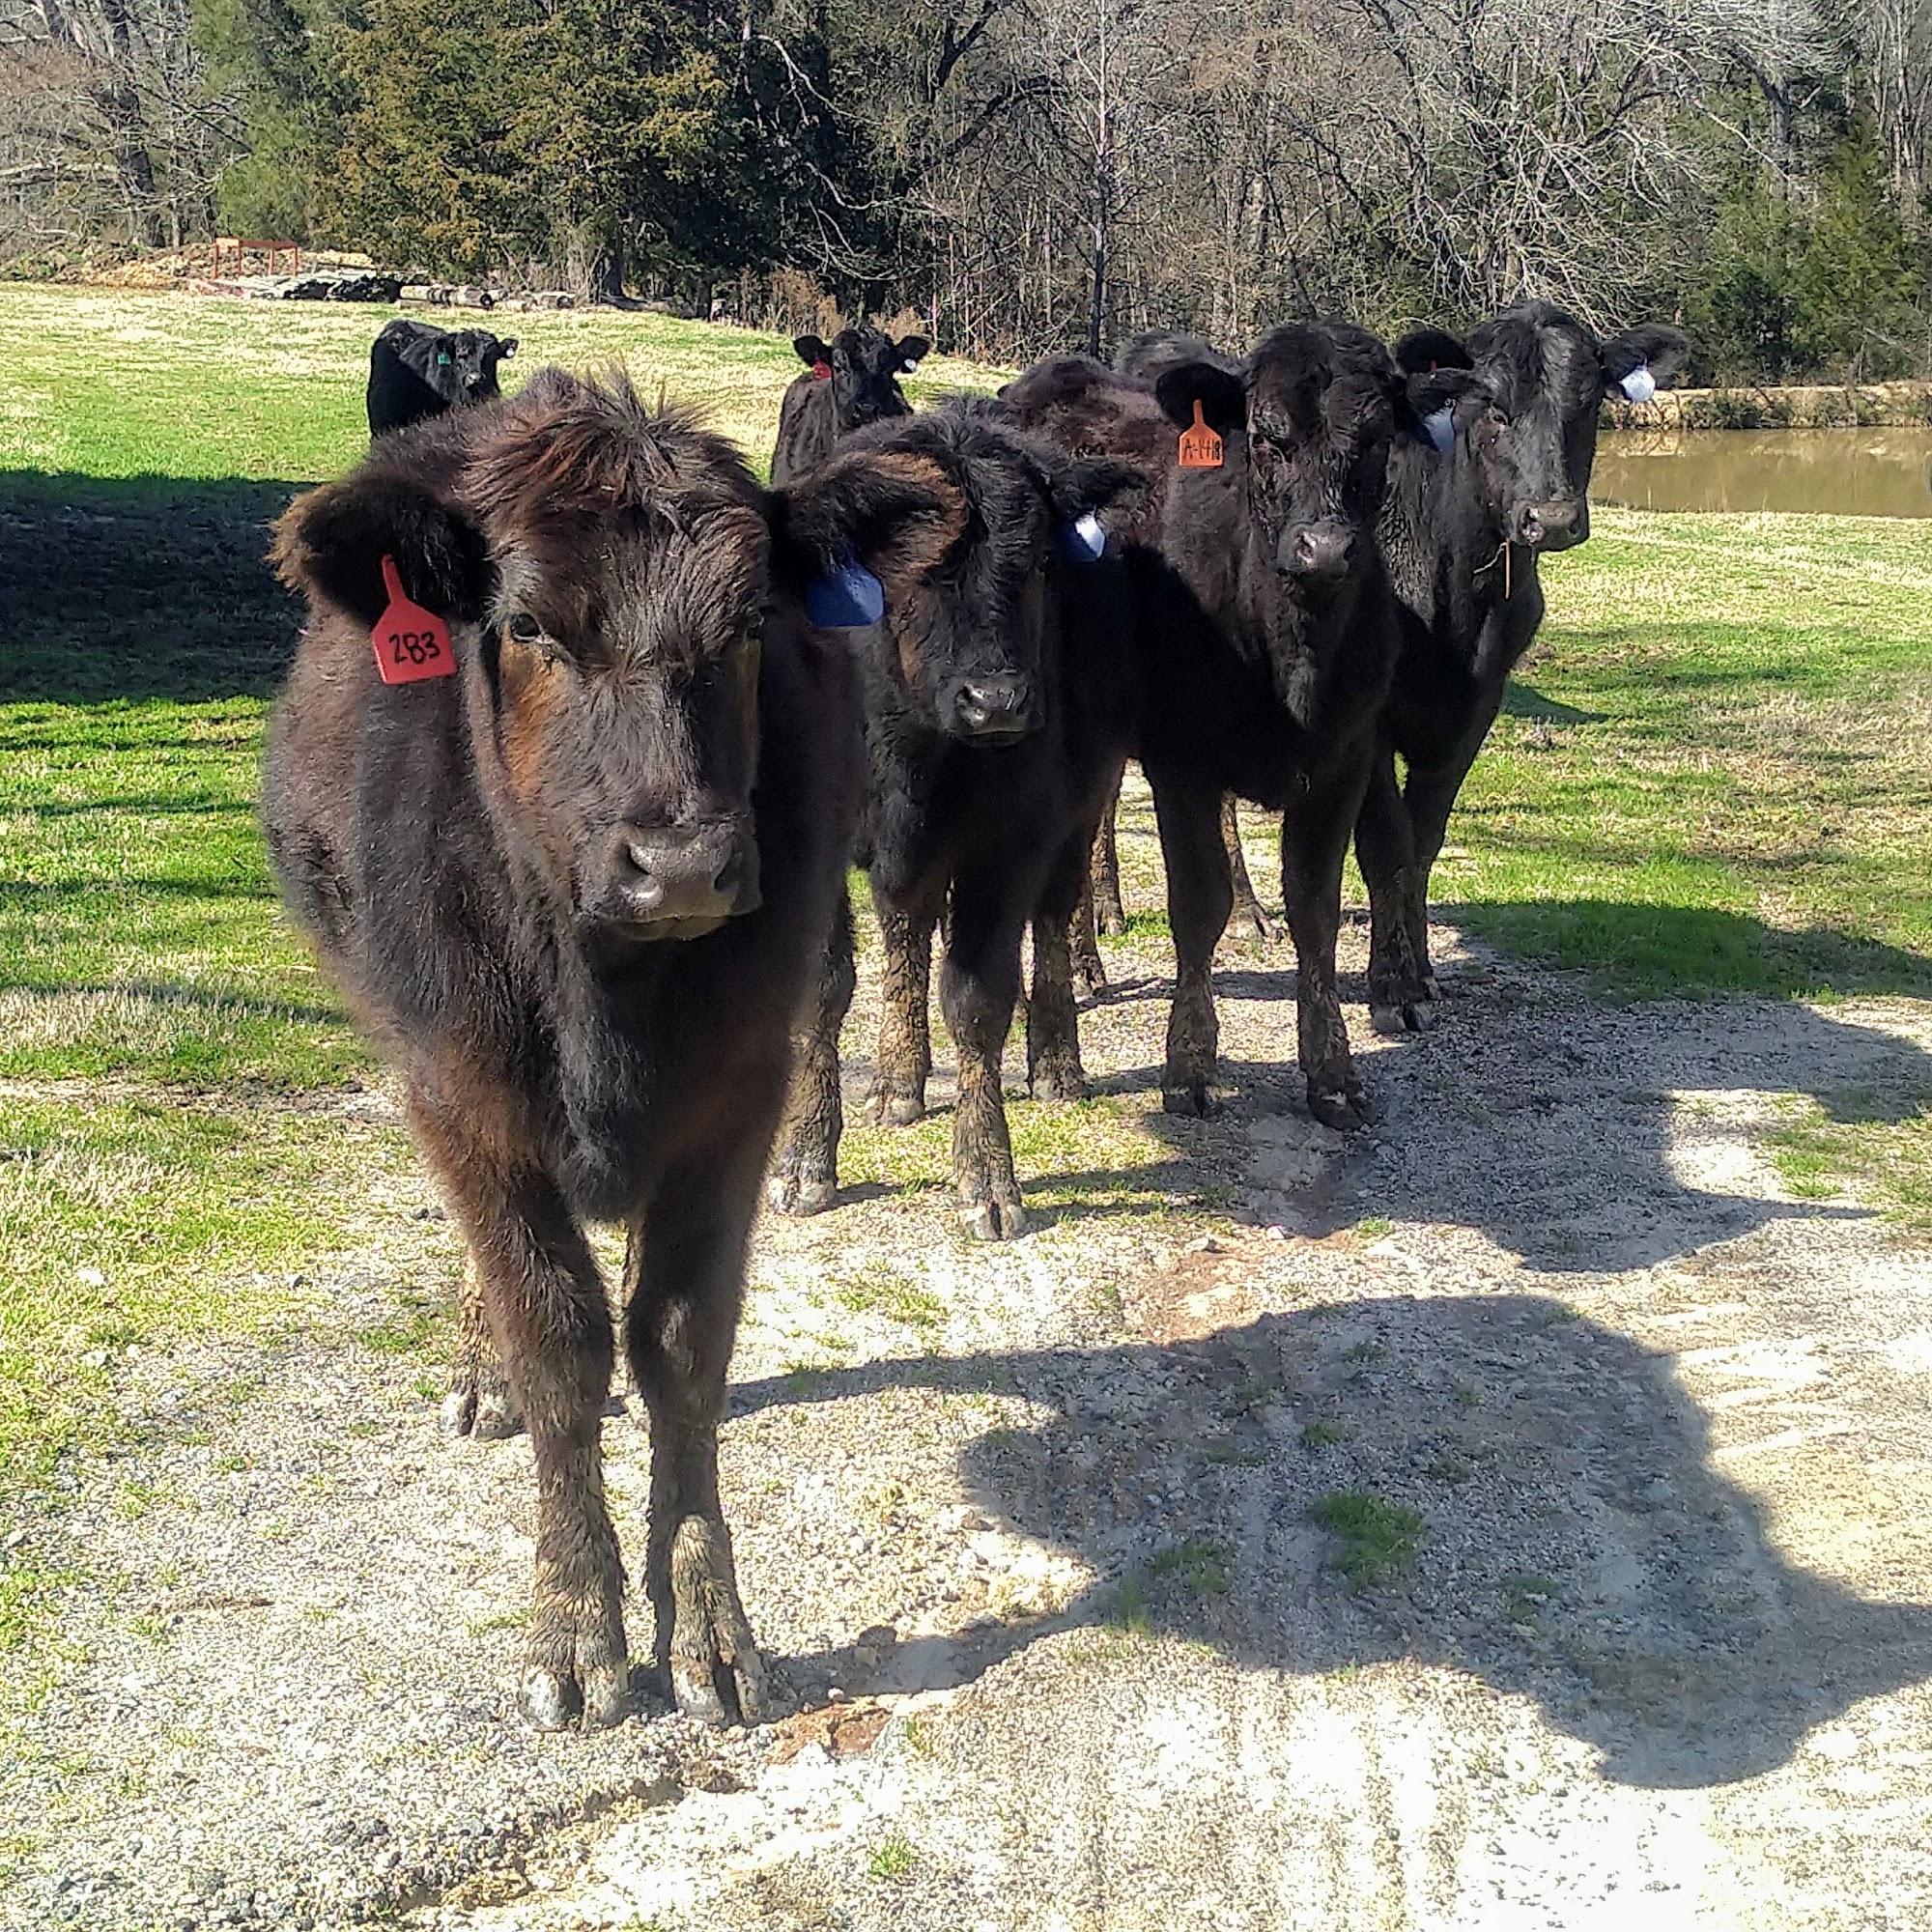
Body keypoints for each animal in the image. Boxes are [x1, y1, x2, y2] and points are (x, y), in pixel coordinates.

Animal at [264, 367, 954, 1730]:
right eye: (528, 625)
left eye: (748, 626)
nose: (679, 862)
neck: (603, 992)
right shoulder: (457, 1089)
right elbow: (556, 1340)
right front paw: (576, 1622)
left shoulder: (738, 1088)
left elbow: (680, 1341)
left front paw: (707, 1619)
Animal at [765, 397, 1142, 1239]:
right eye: (912, 570)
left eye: (1038, 564)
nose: (995, 701)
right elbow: (823, 986)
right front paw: (805, 1158)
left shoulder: (1010, 842)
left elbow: (976, 999)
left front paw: (988, 1177)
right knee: (904, 922)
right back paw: (898, 1079)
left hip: (1078, 808)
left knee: (1054, 918)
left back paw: (1056, 1063)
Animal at [1007, 324, 1447, 1128]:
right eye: (1268, 437)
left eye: (1375, 439)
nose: (1325, 549)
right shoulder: (1184, 760)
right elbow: (1199, 904)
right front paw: (1189, 1066)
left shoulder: (1345, 758)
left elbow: (1314, 906)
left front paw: (1332, 1073)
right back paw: (1059, 1033)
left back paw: (1088, 968)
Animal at [1358, 303, 1688, 1030]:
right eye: (1494, 408)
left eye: (1590, 403)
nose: (1553, 518)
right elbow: (1386, 845)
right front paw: (1392, 990)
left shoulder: (1479, 701)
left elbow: (1423, 841)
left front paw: (1422, 973)